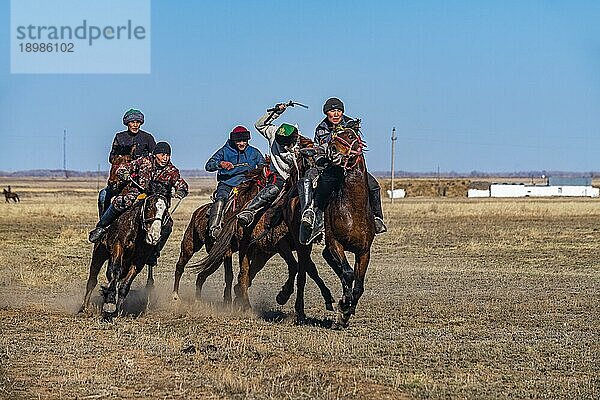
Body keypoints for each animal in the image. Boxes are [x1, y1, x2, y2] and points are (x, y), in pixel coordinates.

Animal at [79, 192, 169, 320]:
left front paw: (116, 310)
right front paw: (110, 303)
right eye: (149, 207)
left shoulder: (139, 261)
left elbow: (125, 285)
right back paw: (84, 308)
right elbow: (116, 271)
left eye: (165, 211)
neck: (136, 231)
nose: (154, 237)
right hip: (99, 253)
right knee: (93, 279)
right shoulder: (118, 246)